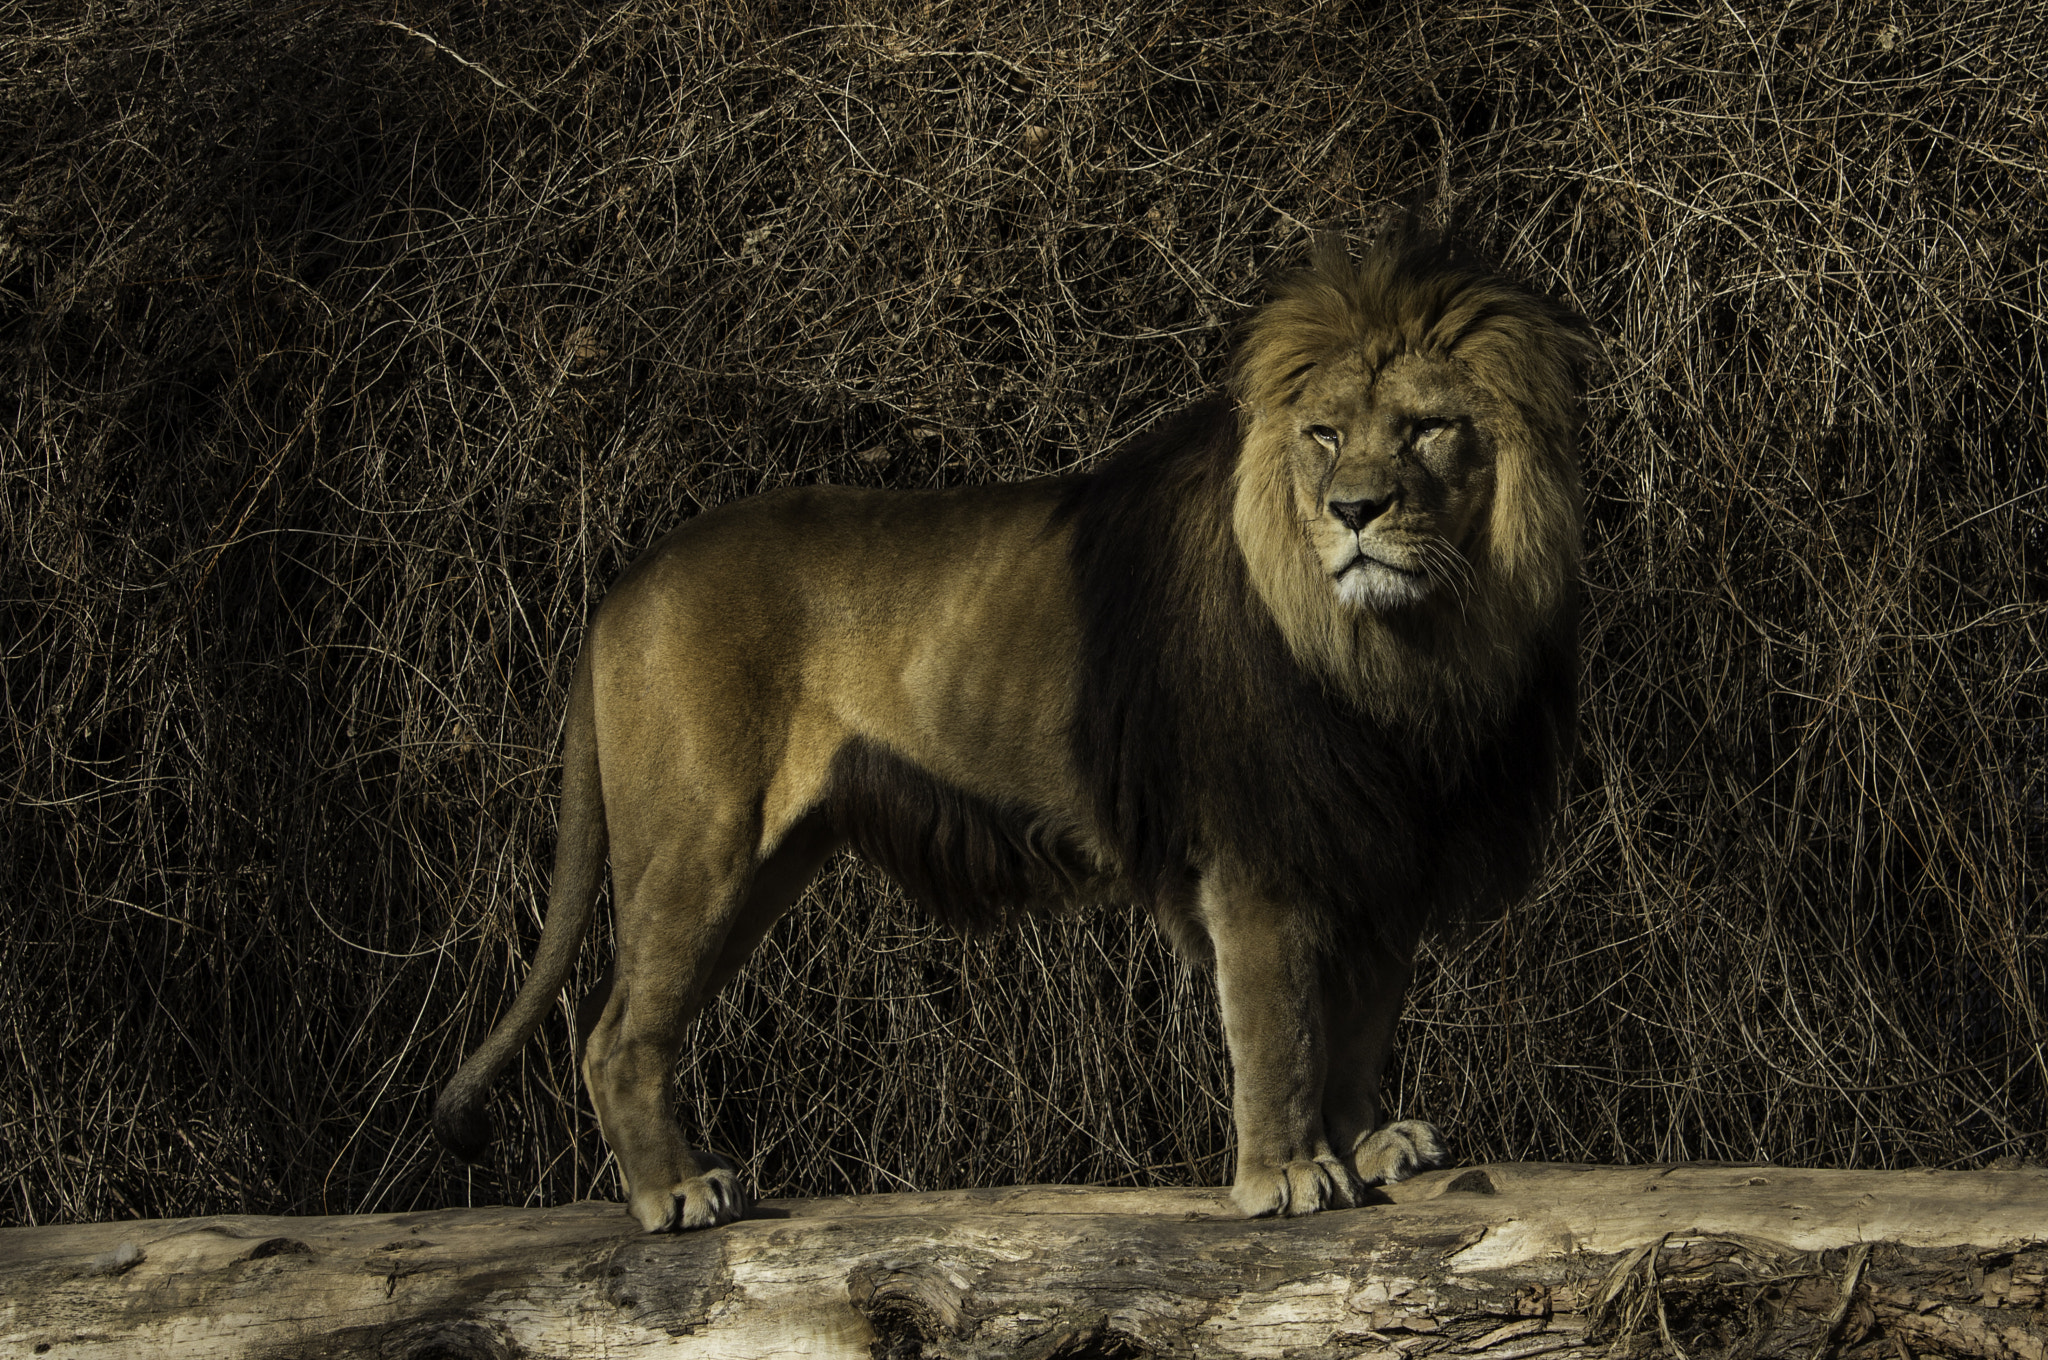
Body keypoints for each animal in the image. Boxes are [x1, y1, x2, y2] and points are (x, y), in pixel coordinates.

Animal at [434, 221, 1597, 1232]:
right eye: (1323, 436)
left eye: (1425, 428)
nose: (1354, 511)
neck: (1397, 655)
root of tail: (624, 581)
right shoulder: (1255, 847)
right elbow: (1281, 1027)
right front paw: (1289, 1173)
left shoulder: (1386, 845)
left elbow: (1357, 1024)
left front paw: (1365, 1142)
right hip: (698, 839)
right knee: (616, 1035)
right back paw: (672, 1193)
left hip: (762, 867)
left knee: (643, 1017)